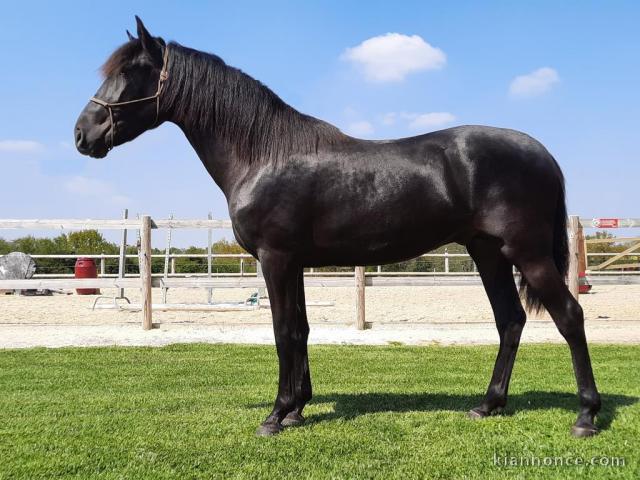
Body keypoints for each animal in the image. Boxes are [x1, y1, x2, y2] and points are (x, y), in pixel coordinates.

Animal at [75, 17, 601, 437]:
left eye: (128, 72)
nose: (82, 134)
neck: (263, 154)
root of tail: (542, 154)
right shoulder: (295, 263)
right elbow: (302, 329)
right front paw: (297, 408)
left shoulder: (277, 259)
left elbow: (283, 330)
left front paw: (276, 415)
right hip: (488, 252)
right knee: (509, 320)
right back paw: (488, 405)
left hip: (527, 254)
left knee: (569, 317)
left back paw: (586, 416)